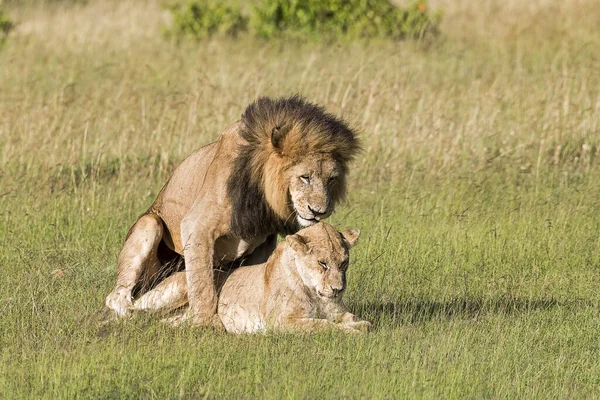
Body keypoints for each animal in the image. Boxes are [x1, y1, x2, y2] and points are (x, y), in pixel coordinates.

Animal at [105, 95, 358, 326]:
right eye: (304, 177)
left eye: (332, 179)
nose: (319, 212)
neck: (261, 198)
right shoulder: (197, 226)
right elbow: (203, 286)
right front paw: (206, 322)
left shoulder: (264, 242)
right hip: (151, 224)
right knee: (116, 297)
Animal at [135, 222, 370, 334]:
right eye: (323, 263)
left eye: (343, 263)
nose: (338, 289)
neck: (315, 293)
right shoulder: (281, 321)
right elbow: (322, 326)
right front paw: (352, 333)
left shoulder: (339, 312)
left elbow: (363, 323)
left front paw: (361, 327)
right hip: (183, 286)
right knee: (136, 313)